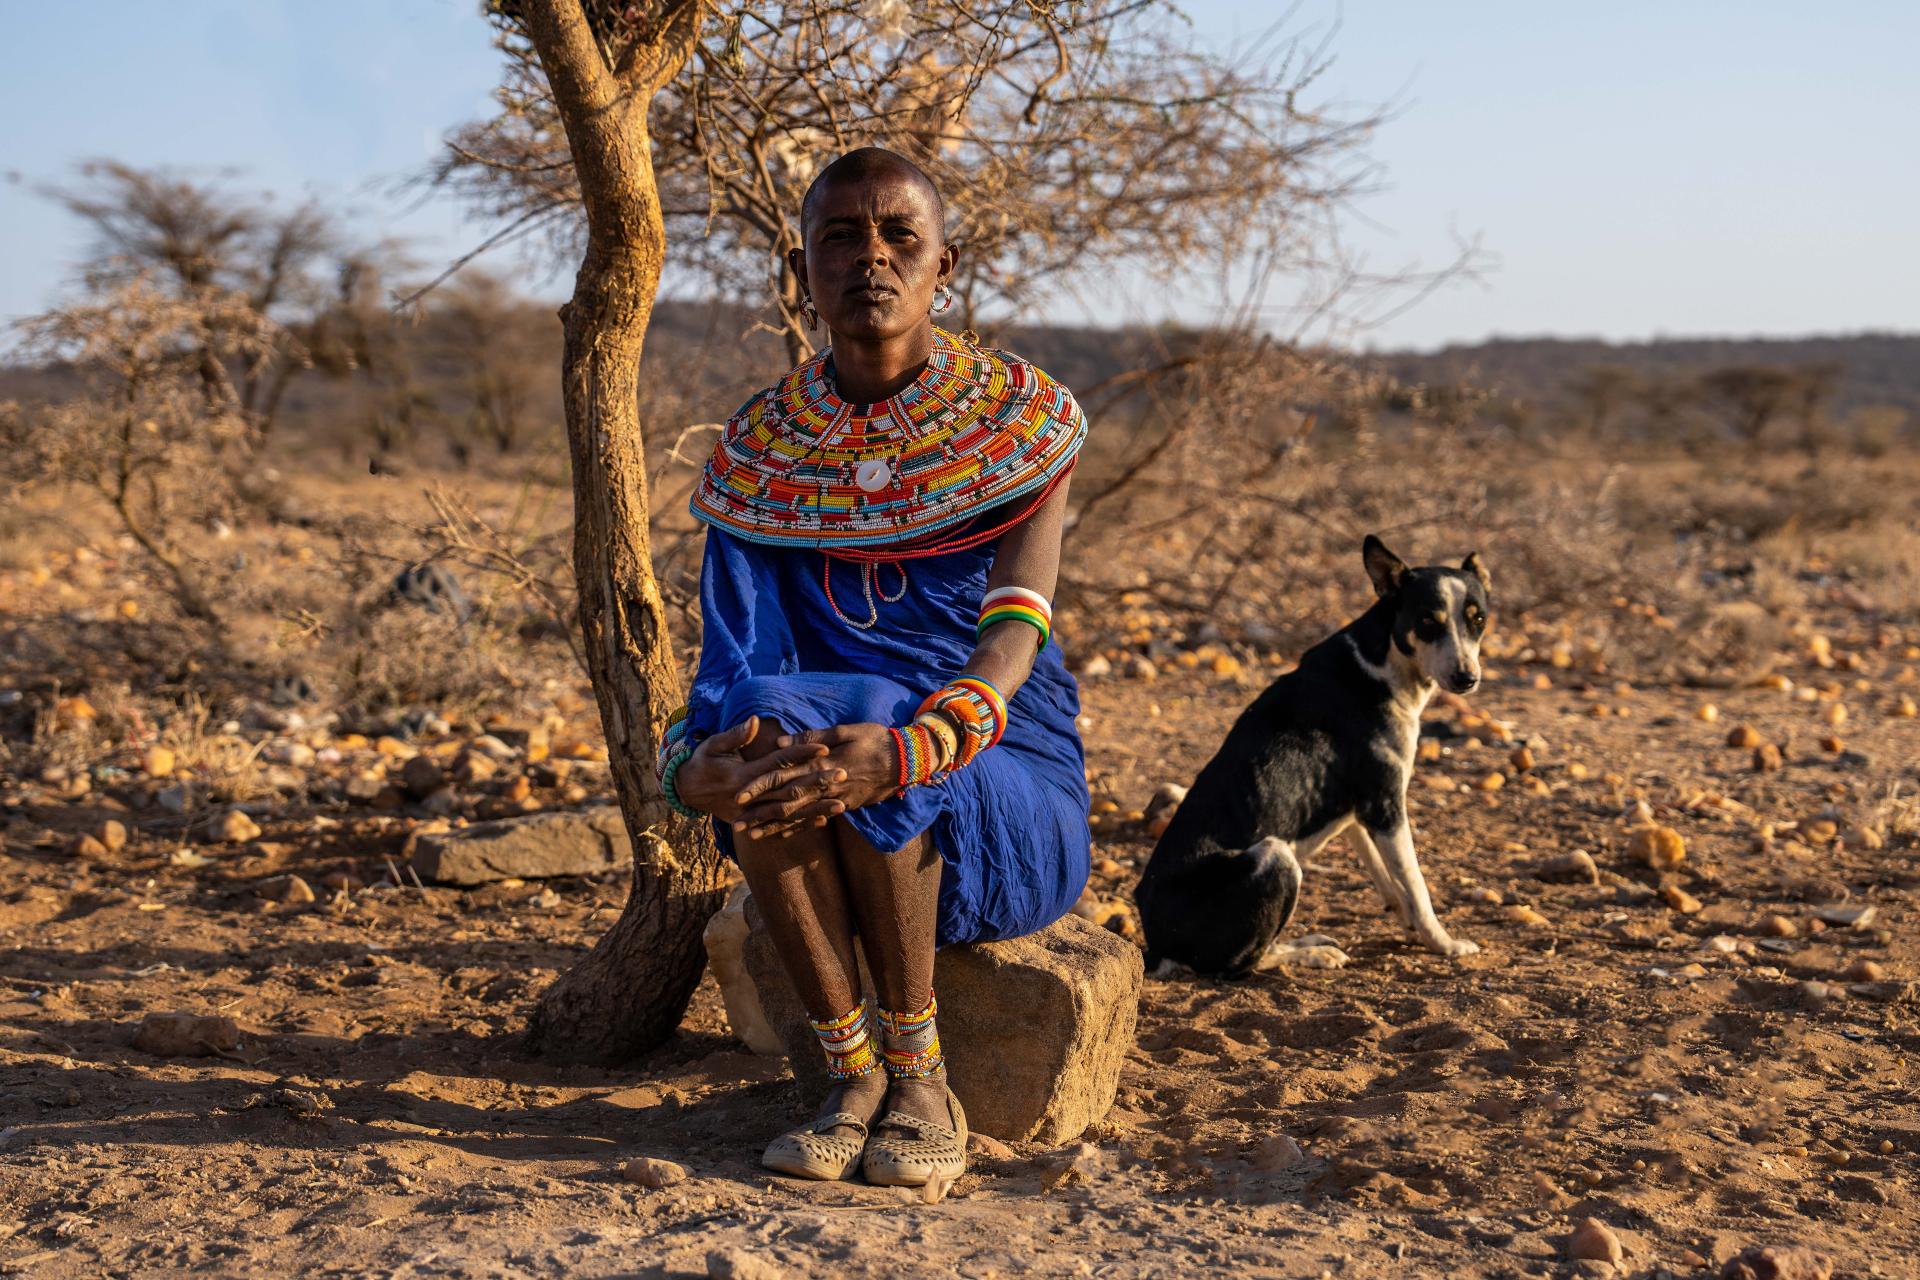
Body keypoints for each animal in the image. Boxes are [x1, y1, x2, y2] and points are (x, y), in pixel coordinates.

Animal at [1128, 537, 1489, 974]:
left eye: (1478, 620)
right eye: (1428, 622)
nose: (1467, 678)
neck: (1383, 661)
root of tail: (1156, 946)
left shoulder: (1357, 812)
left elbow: (1388, 877)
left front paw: (1406, 921)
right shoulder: (1385, 806)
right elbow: (1416, 884)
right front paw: (1443, 943)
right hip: (1276, 855)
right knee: (1245, 962)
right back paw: (1310, 952)